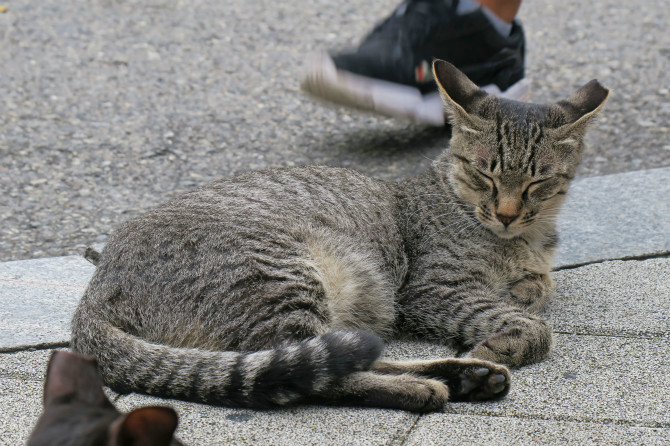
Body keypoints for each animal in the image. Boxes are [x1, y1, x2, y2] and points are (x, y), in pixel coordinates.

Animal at [71, 59, 612, 412]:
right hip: (283, 277)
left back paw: (464, 377)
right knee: (311, 374)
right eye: (485, 176)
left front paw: (521, 296)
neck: (526, 238)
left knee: (337, 356)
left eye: (538, 182)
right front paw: (503, 338)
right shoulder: (430, 290)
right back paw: (438, 384)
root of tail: (94, 290)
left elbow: (537, 288)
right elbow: (529, 324)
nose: (505, 213)